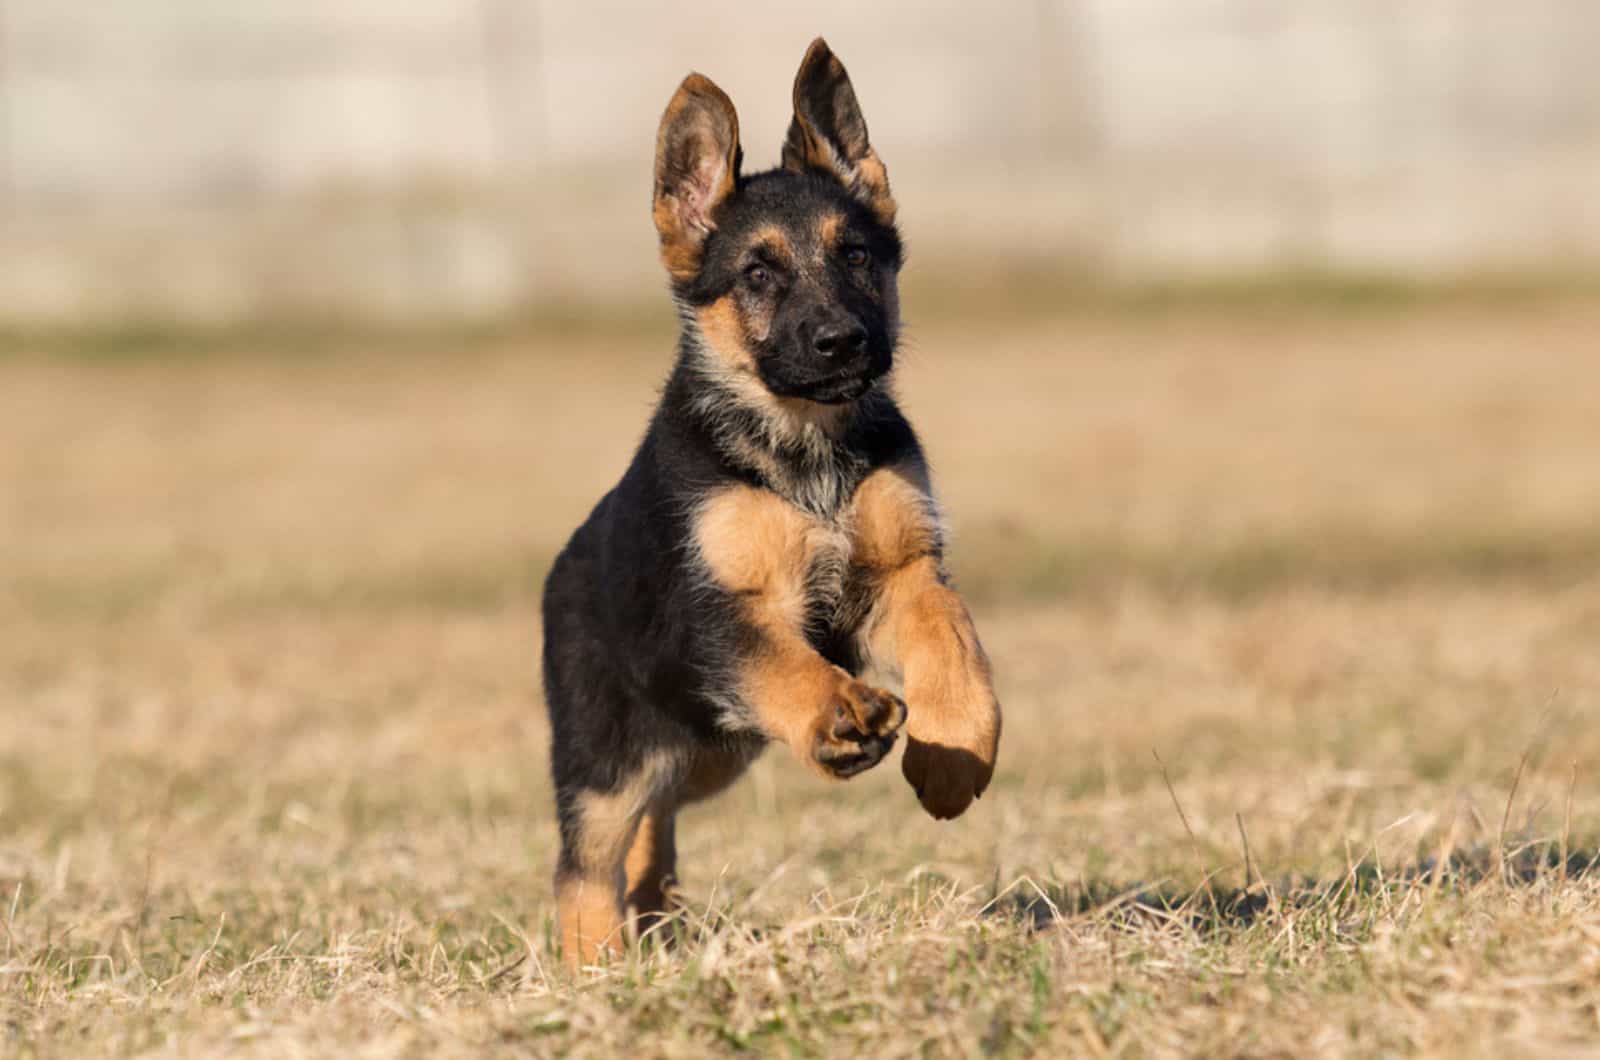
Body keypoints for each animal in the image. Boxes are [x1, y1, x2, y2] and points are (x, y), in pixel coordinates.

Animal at [544, 37, 1004, 973]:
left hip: (708, 751)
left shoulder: (900, 573)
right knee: (584, 864)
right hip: (611, 757)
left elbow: (955, 643)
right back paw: (595, 968)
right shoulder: (720, 612)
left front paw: (955, 758)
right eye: (758, 273)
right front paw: (838, 717)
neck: (802, 443)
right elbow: (782, 665)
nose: (844, 343)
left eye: (857, 255)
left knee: (654, 824)